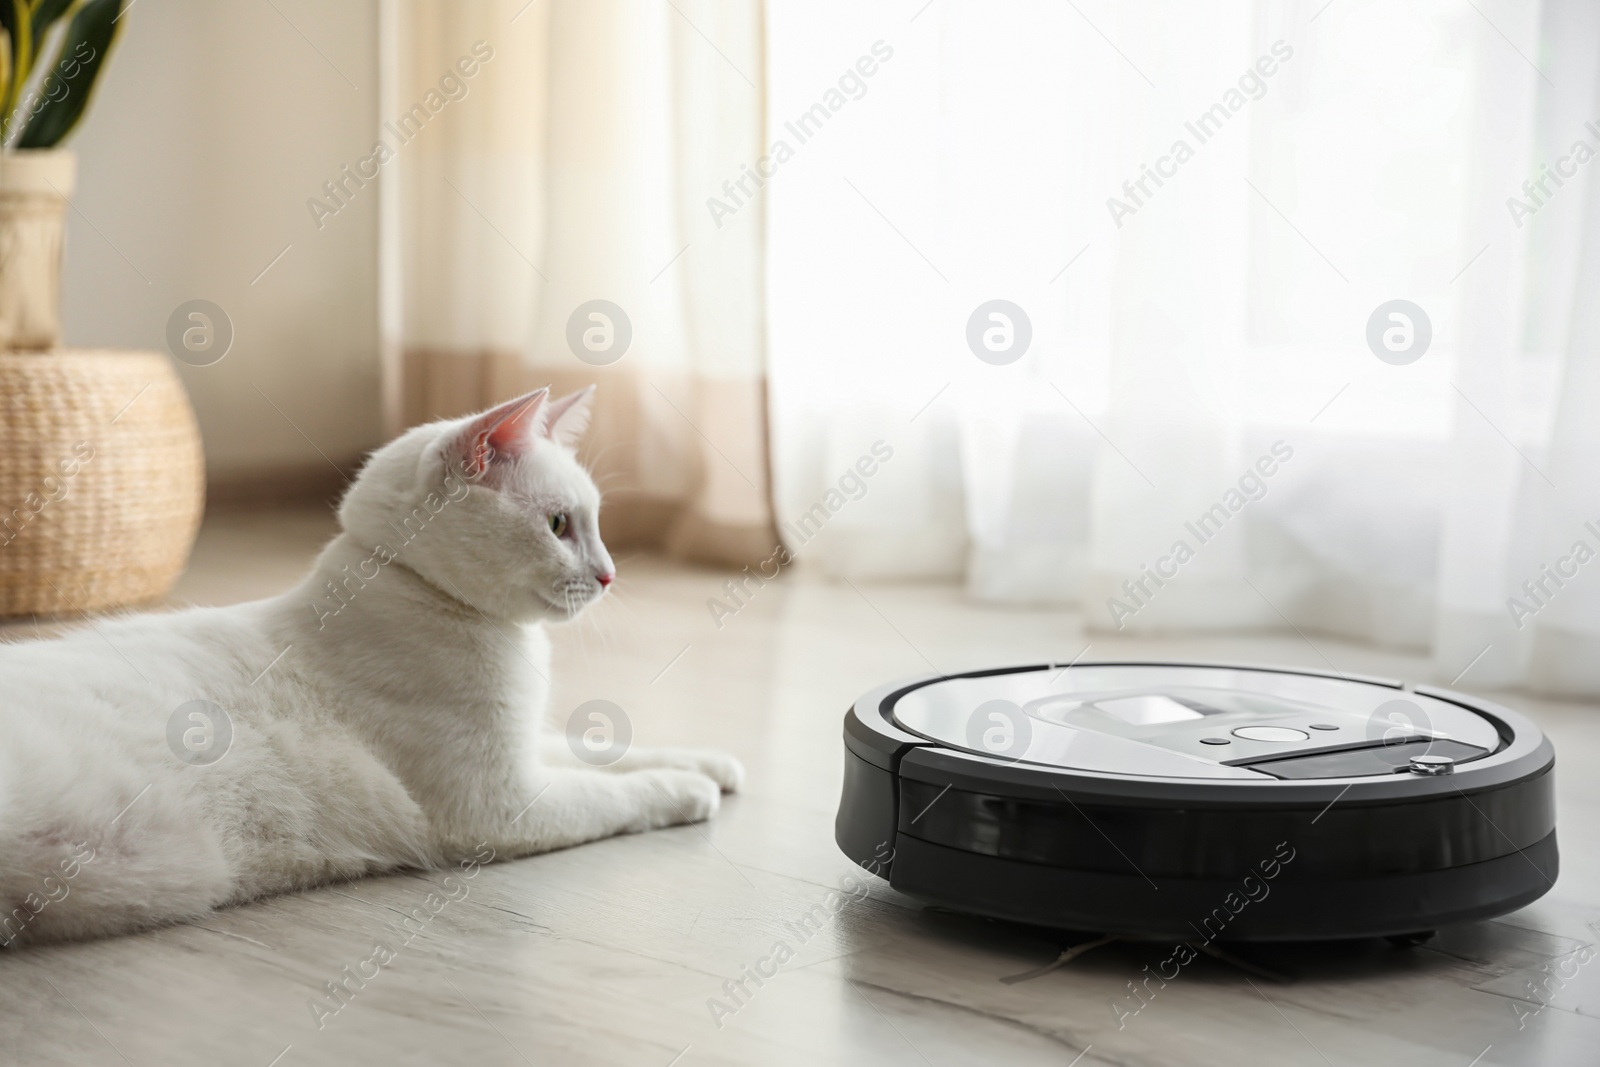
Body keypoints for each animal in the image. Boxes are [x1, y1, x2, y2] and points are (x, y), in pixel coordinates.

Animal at [0, 388, 739, 947]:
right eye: (559, 525)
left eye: (597, 523)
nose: (610, 574)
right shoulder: (503, 802)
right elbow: (617, 793)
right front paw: (688, 790)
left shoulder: (524, 744)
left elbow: (605, 747)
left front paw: (715, 764)